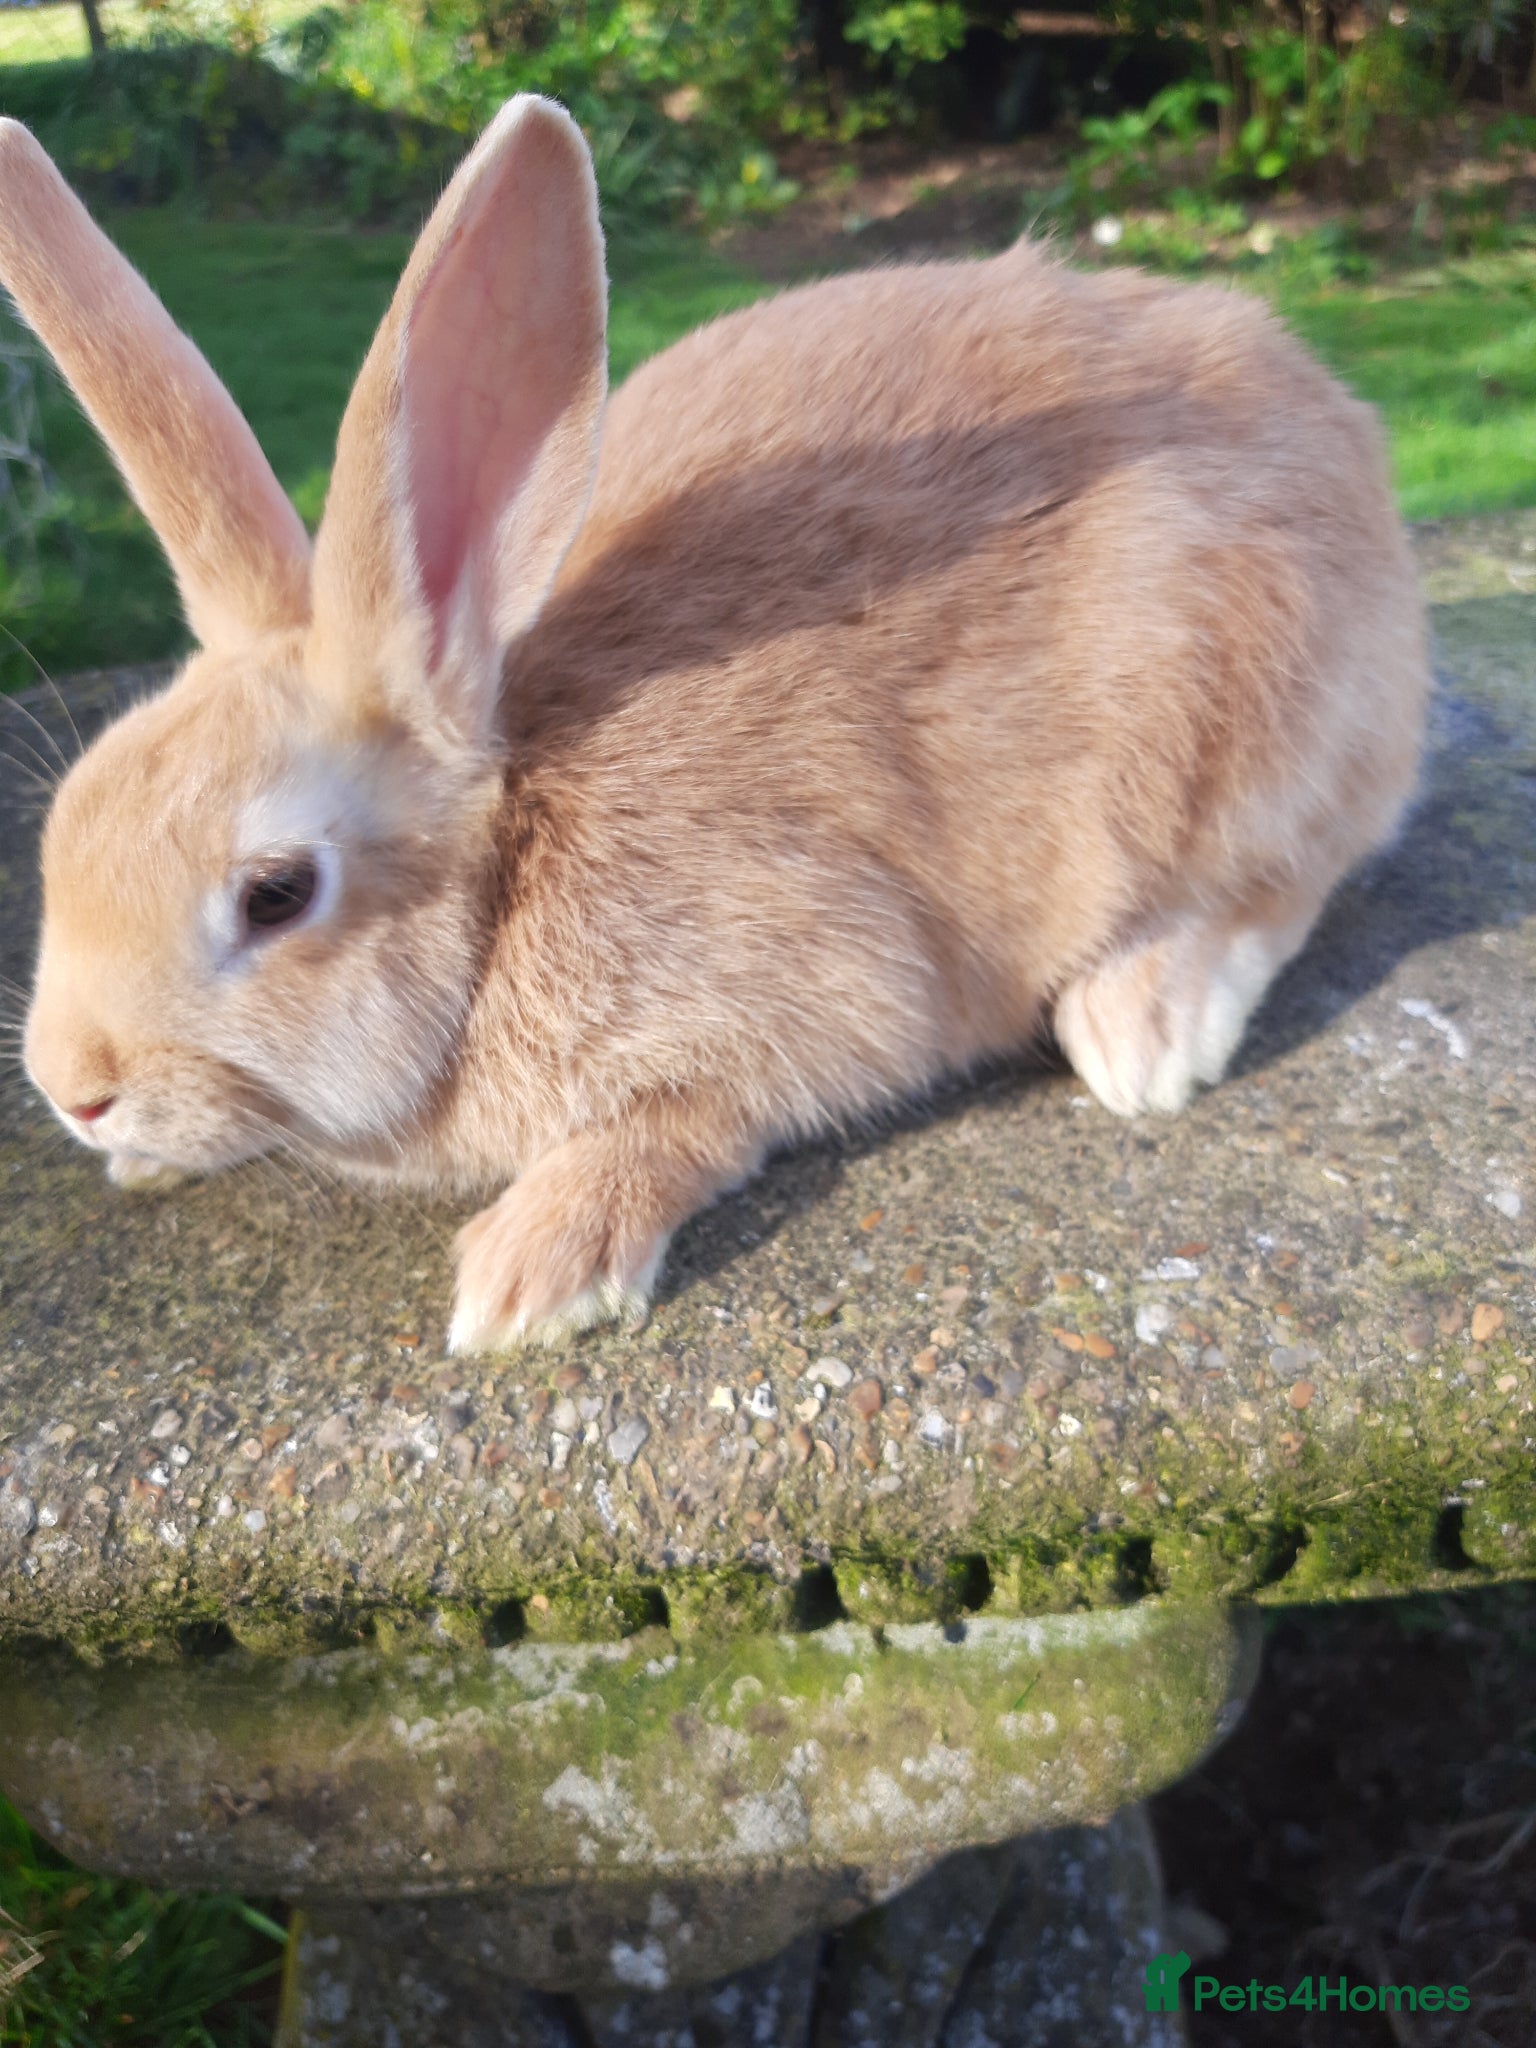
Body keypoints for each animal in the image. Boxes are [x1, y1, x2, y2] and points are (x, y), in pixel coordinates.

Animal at [2, 98, 1428, 1354]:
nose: (75, 1092)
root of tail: (1335, 425)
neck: (508, 873)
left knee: (1290, 872)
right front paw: (142, 1170)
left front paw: (533, 1274)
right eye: (66, 820)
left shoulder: (814, 987)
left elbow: (687, 1120)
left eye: (276, 893)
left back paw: (1144, 1029)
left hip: (1238, 711)